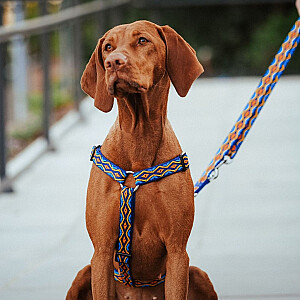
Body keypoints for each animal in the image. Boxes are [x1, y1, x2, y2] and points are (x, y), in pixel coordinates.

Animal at [67, 19, 218, 298]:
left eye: (142, 40)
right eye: (107, 47)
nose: (113, 62)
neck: (139, 138)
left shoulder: (177, 251)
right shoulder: (101, 251)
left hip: (198, 273)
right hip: (84, 272)